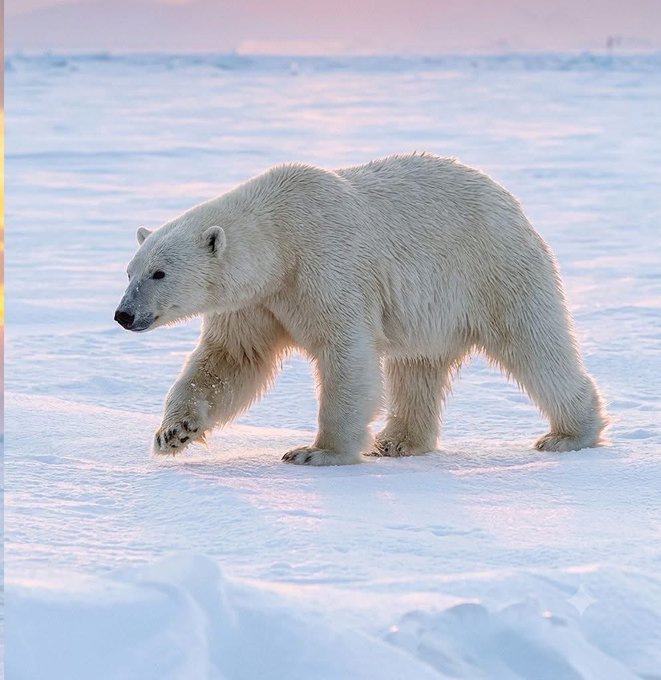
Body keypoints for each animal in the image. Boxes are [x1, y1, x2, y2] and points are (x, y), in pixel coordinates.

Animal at [115, 153, 608, 465]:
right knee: (418, 368)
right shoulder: (259, 300)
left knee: (534, 344)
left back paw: (569, 435)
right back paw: (398, 442)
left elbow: (345, 352)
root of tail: (513, 204)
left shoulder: (326, 265)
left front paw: (316, 452)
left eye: (158, 273)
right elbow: (231, 360)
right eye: (129, 271)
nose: (123, 315)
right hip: (434, 311)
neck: (279, 238)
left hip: (493, 270)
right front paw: (172, 433)